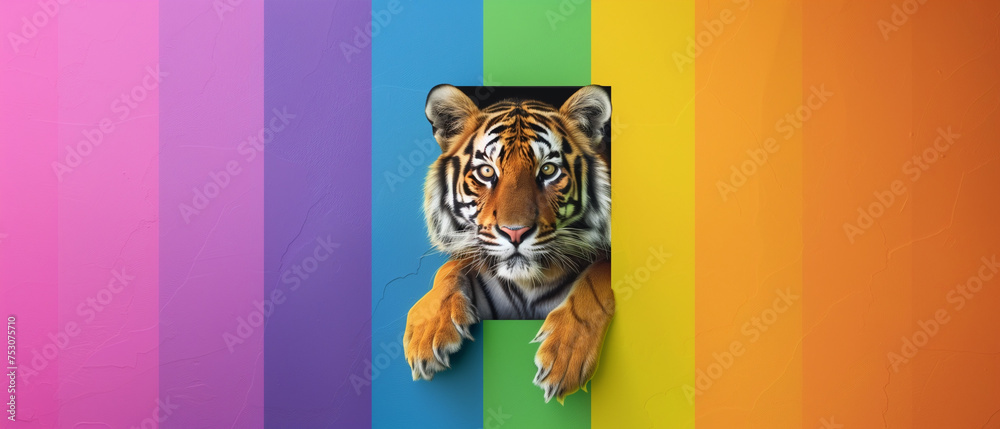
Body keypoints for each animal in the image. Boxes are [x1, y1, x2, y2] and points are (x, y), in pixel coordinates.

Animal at [404, 84, 614, 404]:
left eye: (548, 170)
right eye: (487, 172)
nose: (515, 233)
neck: (528, 285)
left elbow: (601, 274)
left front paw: (565, 356)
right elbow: (451, 267)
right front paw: (427, 332)